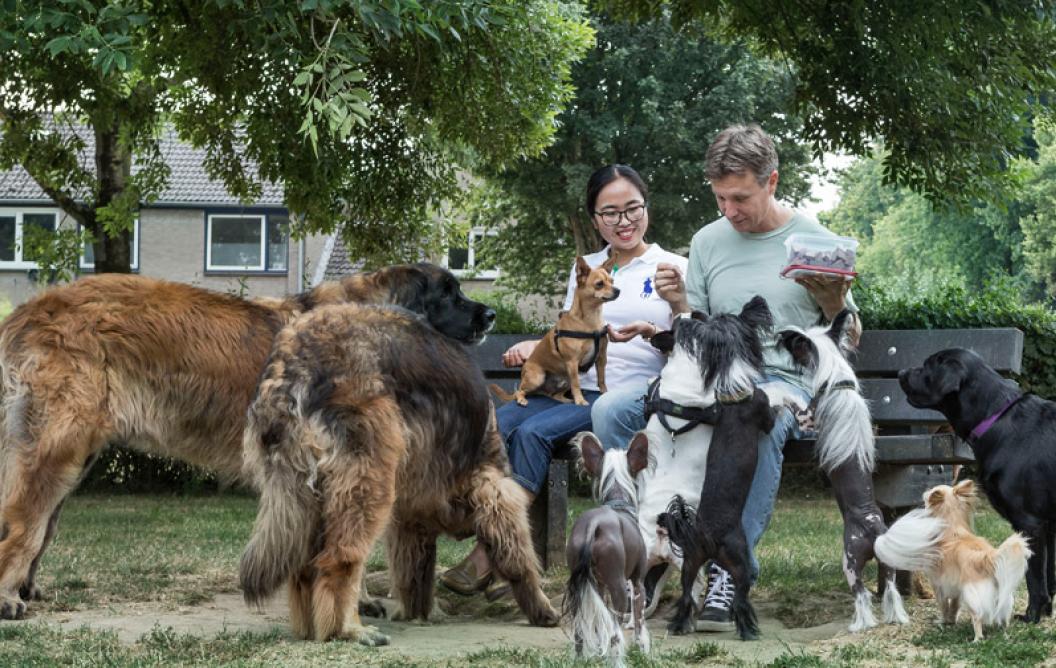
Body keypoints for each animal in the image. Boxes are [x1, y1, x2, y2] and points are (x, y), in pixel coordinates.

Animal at [0, 261, 498, 620]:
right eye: (448, 293)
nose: (491, 314)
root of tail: (30, 309)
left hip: (75, 452)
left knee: (42, 524)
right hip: (57, 444)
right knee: (25, 524)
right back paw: (8, 598)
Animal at [235, 301, 557, 641]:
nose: (492, 315)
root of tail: (294, 361)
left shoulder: (412, 513)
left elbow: (415, 571)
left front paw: (419, 611)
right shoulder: (493, 486)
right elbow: (519, 557)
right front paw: (541, 608)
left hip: (304, 495)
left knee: (303, 567)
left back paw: (311, 627)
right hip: (369, 481)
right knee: (340, 558)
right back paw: (349, 628)